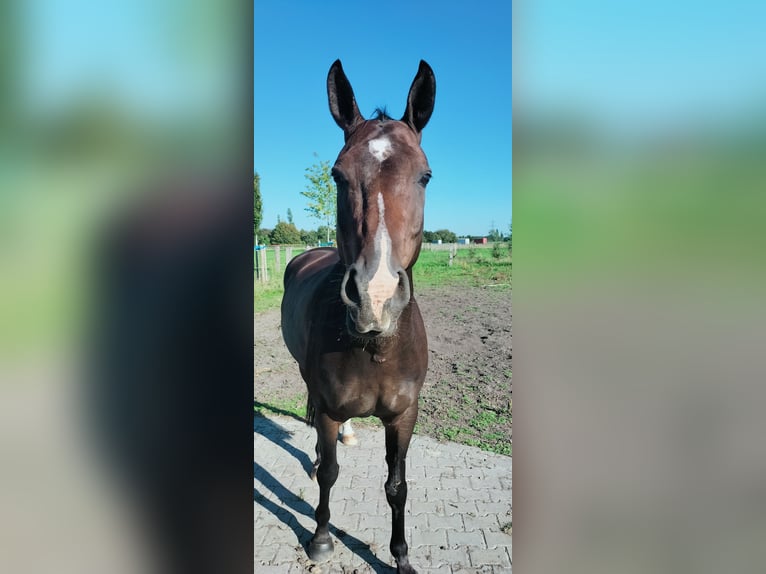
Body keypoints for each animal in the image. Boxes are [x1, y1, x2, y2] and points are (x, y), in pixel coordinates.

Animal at [282, 59, 438, 574]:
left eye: (425, 176)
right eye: (337, 175)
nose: (376, 296)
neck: (375, 348)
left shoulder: (404, 416)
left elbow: (397, 486)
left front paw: (401, 556)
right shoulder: (330, 410)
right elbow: (331, 473)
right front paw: (321, 538)